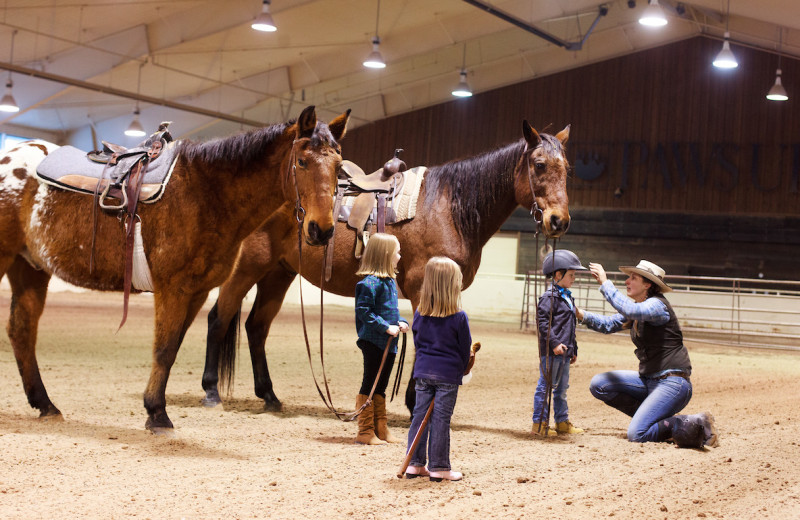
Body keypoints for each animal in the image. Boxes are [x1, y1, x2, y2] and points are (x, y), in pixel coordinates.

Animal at [0, 104, 350, 430]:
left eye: (338, 167)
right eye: (302, 162)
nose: (322, 230)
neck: (206, 192)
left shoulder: (197, 291)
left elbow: (174, 345)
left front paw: (156, 408)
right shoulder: (173, 288)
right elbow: (165, 348)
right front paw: (157, 414)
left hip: (29, 267)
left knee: (22, 331)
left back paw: (45, 405)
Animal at [203, 120, 572, 412]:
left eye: (566, 168)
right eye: (539, 164)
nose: (559, 221)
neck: (449, 208)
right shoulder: (424, 287)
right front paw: (415, 400)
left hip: (278, 273)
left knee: (256, 327)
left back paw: (269, 396)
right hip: (247, 269)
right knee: (219, 317)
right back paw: (211, 391)